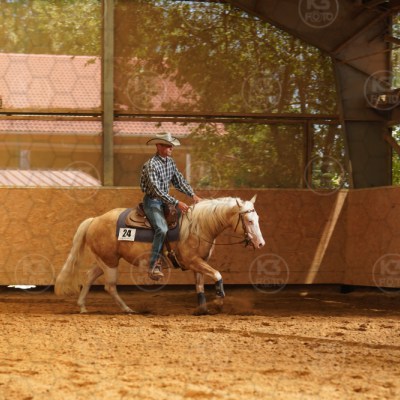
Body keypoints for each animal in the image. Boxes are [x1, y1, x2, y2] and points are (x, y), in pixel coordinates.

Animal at [54, 195, 265, 314]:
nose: (260, 243)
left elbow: (200, 285)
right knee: (110, 286)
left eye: (257, 217)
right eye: (248, 220)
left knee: (89, 277)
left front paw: (202, 309)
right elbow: (217, 274)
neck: (199, 226)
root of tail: (94, 220)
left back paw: (83, 307)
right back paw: (127, 309)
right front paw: (219, 301)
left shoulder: (198, 263)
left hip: (104, 261)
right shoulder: (193, 261)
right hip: (110, 262)